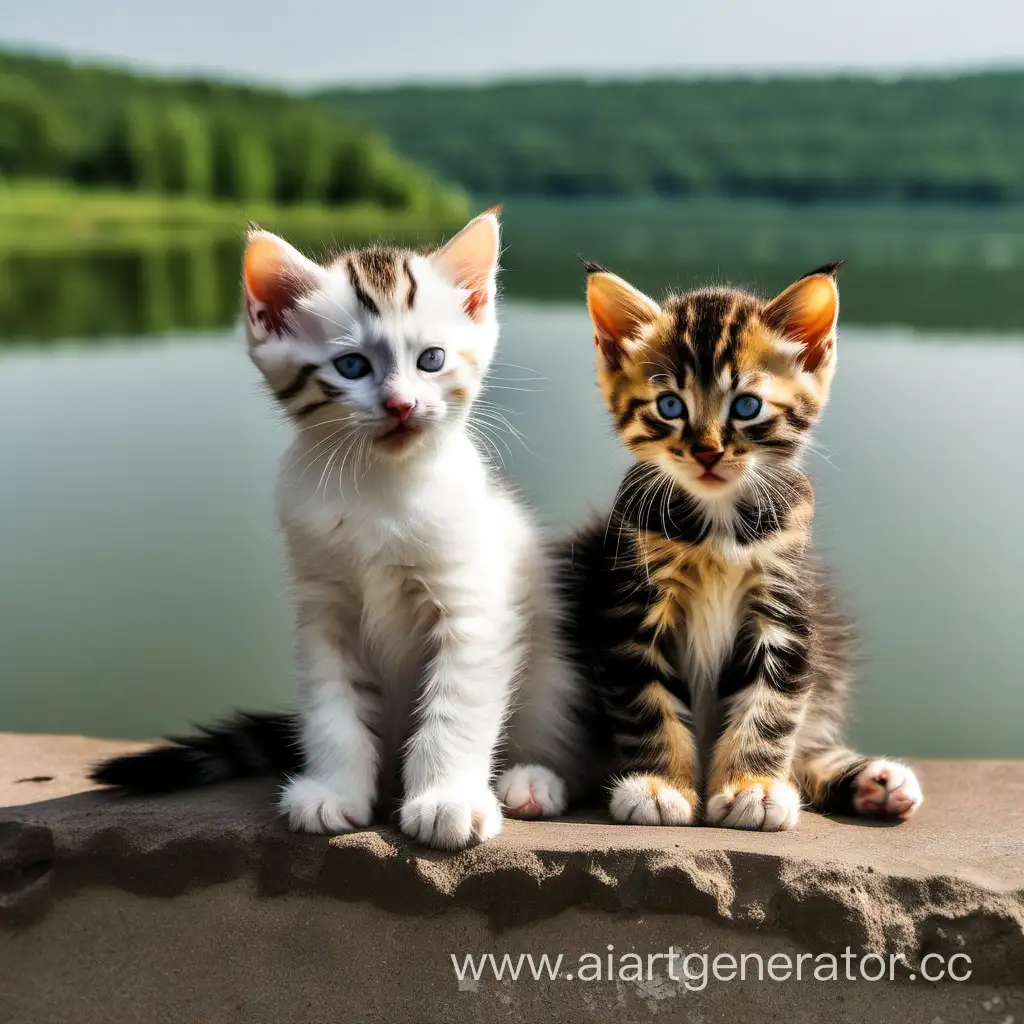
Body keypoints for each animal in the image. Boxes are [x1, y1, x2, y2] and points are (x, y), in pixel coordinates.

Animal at [561, 260, 929, 827]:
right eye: (670, 405)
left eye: (747, 406)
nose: (708, 452)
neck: (717, 525)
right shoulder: (632, 607)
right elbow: (647, 702)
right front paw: (659, 786)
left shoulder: (786, 606)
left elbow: (772, 705)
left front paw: (752, 786)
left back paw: (877, 782)